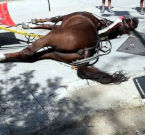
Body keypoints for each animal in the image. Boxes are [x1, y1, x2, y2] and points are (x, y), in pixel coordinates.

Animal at [0, 11, 138, 84]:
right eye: (129, 21)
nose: (136, 19)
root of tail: (87, 48)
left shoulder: (61, 19)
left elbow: (51, 19)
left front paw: (30, 23)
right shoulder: (58, 25)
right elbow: (47, 25)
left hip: (51, 37)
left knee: (28, 51)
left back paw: (2, 56)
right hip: (53, 53)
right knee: (32, 57)